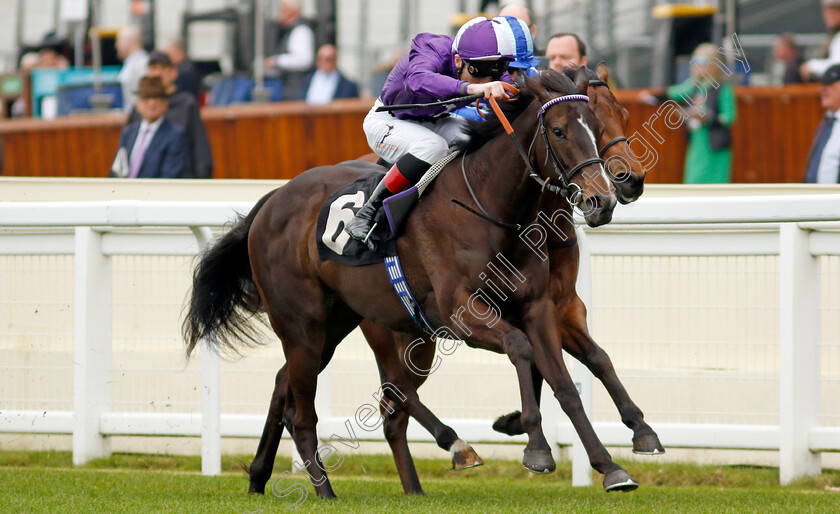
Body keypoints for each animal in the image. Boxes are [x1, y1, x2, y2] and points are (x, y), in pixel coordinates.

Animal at [184, 68, 632, 496]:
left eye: (598, 123)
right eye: (558, 131)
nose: (604, 199)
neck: (492, 206)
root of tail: (272, 200)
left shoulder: (541, 308)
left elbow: (566, 383)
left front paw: (611, 467)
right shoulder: (462, 315)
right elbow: (521, 350)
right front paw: (537, 449)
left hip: (338, 322)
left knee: (308, 391)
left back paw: (270, 477)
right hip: (305, 326)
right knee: (312, 411)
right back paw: (331, 489)